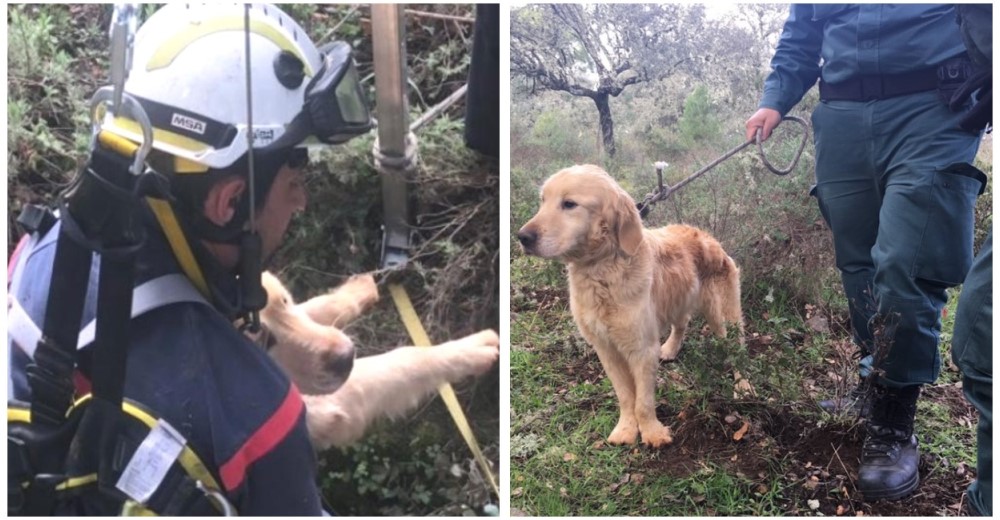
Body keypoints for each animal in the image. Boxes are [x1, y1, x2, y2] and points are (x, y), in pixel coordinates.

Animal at [252, 272, 498, 450]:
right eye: (262, 342)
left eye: (285, 300)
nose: (347, 356)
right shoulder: (328, 405)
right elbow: (407, 356)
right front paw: (470, 348)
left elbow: (317, 306)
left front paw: (357, 289)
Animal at [516, 164, 744, 446]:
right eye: (542, 200)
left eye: (569, 204)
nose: (522, 237)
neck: (602, 270)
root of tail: (708, 237)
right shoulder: (605, 348)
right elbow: (625, 395)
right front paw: (626, 429)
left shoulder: (642, 349)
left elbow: (643, 401)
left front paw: (652, 432)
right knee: (682, 323)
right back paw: (670, 348)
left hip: (724, 318)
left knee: (738, 352)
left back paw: (743, 386)